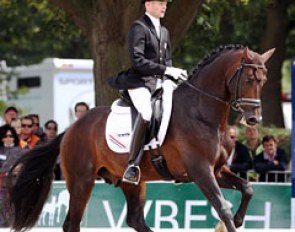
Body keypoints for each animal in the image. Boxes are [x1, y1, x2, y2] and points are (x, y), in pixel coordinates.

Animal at [7, 44, 276, 231]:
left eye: (263, 81)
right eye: (249, 79)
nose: (254, 120)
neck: (202, 112)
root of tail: (71, 129)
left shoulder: (217, 170)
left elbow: (248, 188)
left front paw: (240, 219)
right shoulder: (200, 171)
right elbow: (223, 208)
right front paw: (233, 220)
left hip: (132, 182)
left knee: (135, 220)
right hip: (82, 180)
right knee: (73, 223)